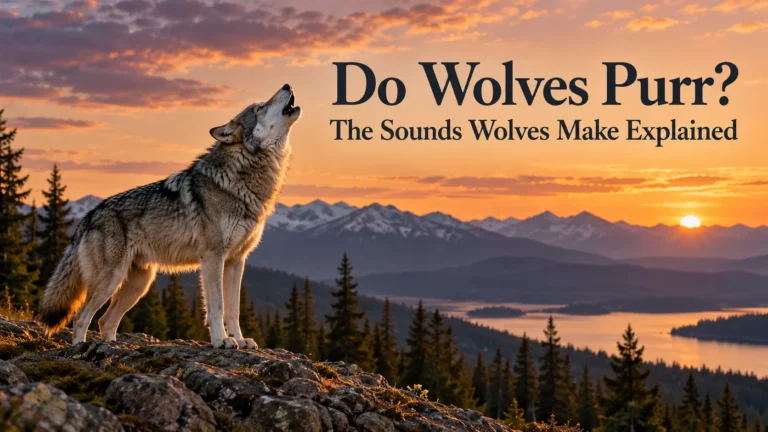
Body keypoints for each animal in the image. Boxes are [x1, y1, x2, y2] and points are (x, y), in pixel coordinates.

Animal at [39, 84, 301, 349]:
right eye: (260, 107)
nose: (287, 85)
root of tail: (88, 216)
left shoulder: (236, 260)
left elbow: (233, 309)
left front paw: (239, 339)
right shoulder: (213, 258)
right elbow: (217, 307)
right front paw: (221, 340)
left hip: (139, 284)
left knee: (106, 321)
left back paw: (112, 346)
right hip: (110, 281)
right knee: (81, 318)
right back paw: (80, 348)